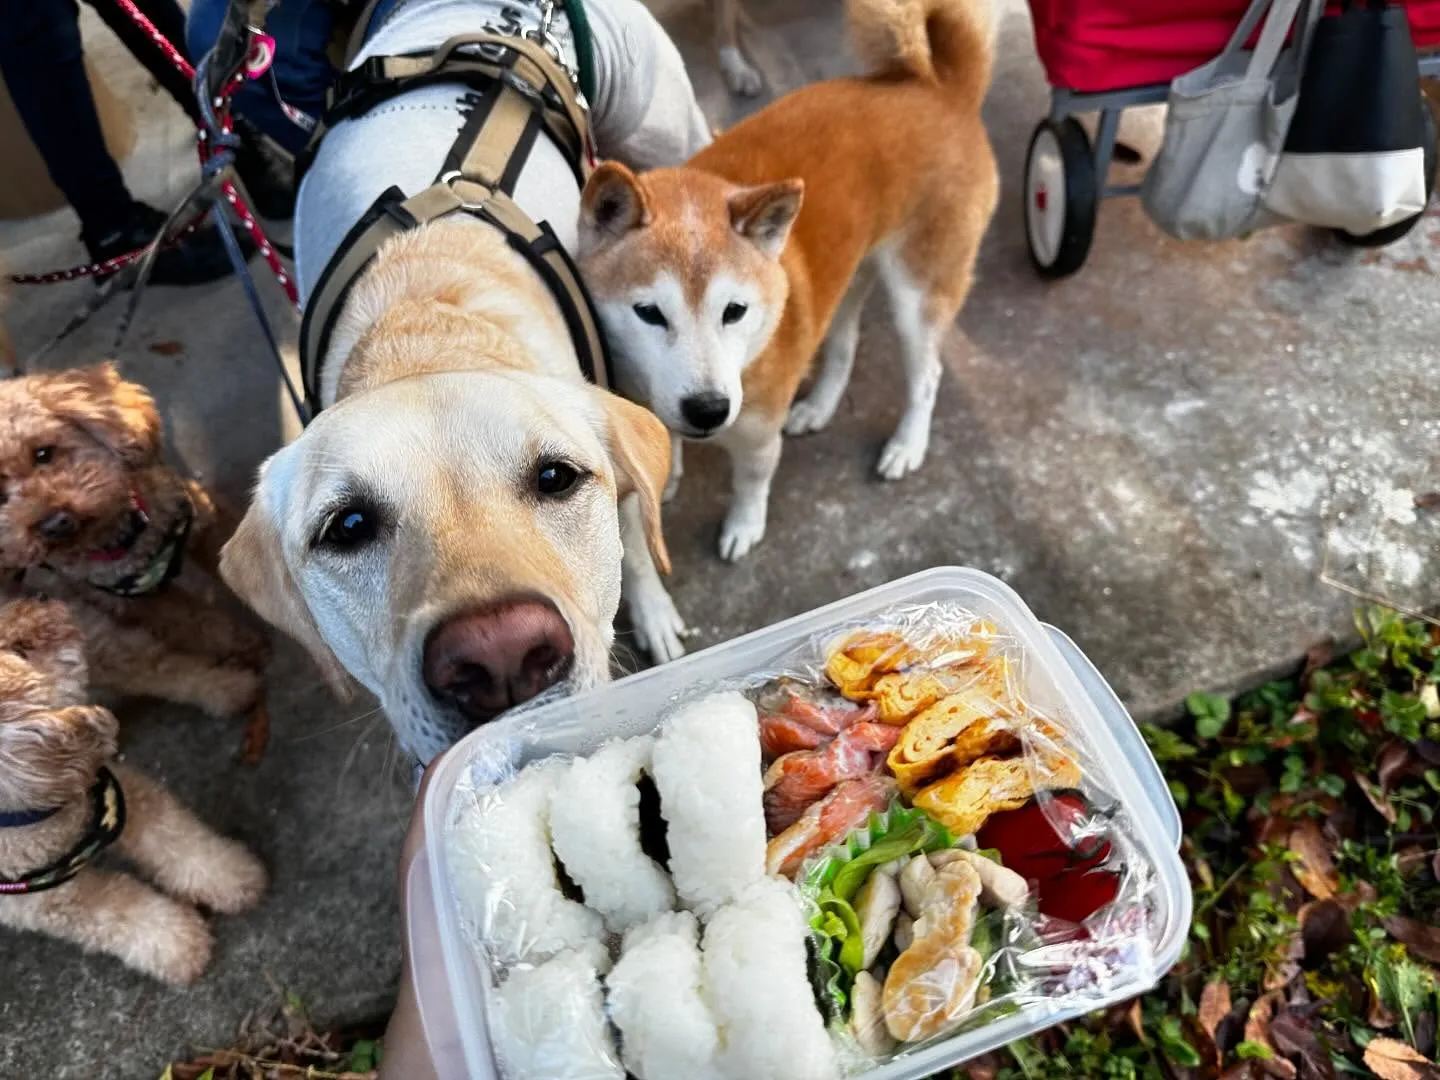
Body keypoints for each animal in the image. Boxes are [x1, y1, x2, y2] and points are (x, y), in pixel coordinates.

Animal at [0, 364, 272, 760]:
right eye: (0, 496)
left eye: (43, 453)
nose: (55, 524)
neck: (125, 539)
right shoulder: (136, 601)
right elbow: (196, 624)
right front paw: (239, 644)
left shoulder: (200, 521)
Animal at [0, 601, 269, 990]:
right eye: (21, 651)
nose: (37, 603)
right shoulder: (43, 902)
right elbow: (119, 912)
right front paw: (179, 944)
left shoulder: (124, 798)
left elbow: (180, 841)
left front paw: (233, 877)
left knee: (150, 663)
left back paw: (227, 686)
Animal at [578, 0, 996, 659]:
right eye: (650, 312)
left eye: (734, 311)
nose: (707, 409)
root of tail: (941, 90)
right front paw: (669, 471)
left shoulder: (754, 433)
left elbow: (752, 481)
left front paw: (743, 525)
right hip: (850, 274)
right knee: (844, 342)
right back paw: (819, 407)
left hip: (919, 290)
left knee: (926, 374)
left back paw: (906, 445)